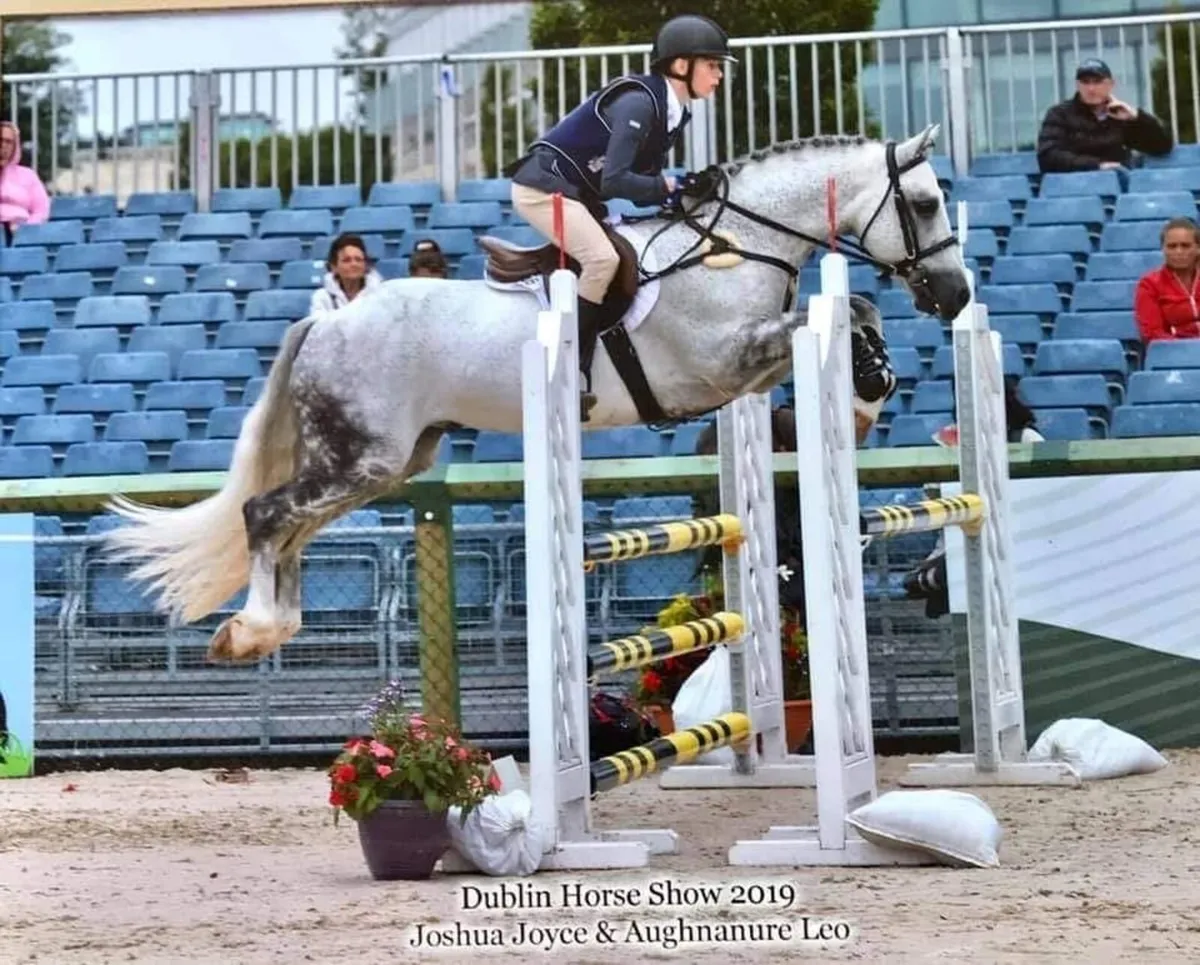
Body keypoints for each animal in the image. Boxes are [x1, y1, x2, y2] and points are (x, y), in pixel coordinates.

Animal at [101, 122, 970, 664]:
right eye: (926, 203)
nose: (957, 295)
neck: (736, 243)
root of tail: (329, 321)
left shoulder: (744, 373)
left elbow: (851, 311)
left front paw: (870, 386)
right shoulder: (721, 363)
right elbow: (835, 314)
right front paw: (867, 380)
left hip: (386, 463)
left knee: (292, 529)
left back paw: (266, 628)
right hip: (359, 457)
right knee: (265, 514)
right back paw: (253, 629)